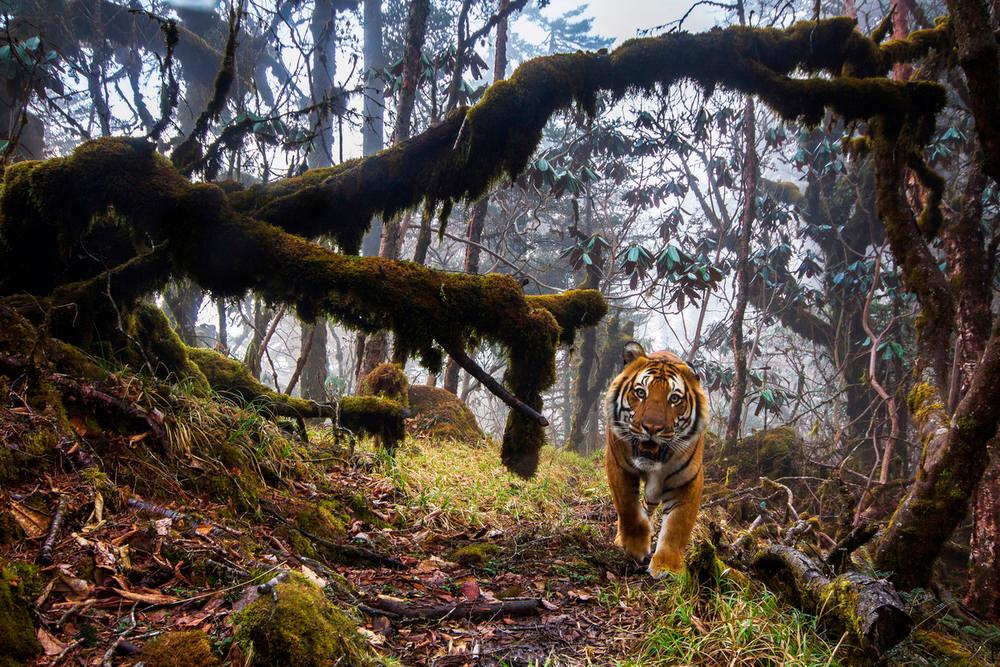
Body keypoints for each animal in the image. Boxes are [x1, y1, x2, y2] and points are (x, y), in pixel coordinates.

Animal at [600, 342, 712, 576]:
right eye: (641, 393)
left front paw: (667, 566)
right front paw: (635, 546)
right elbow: (628, 509)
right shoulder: (618, 466)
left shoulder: (688, 480)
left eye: (674, 399)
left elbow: (678, 525)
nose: (652, 428)